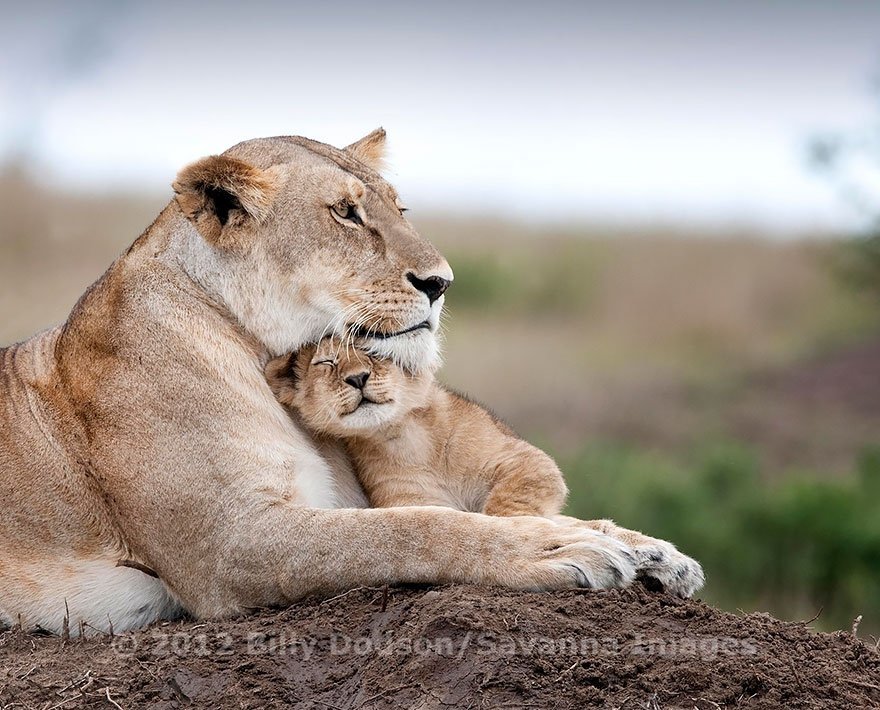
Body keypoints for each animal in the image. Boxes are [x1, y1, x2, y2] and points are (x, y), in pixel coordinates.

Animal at [268, 337, 705, 596]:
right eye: (326, 362)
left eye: (375, 353)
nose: (358, 378)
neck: (403, 434)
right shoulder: (410, 499)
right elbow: (452, 527)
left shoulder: (527, 460)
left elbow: (506, 507)